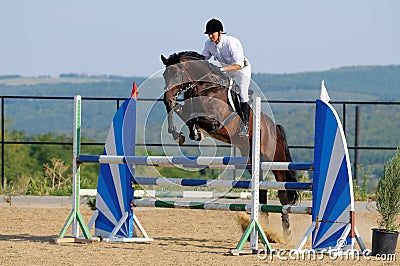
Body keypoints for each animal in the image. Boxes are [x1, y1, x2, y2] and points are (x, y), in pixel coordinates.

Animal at [161, 50, 298, 239]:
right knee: (262, 190)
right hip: (252, 160)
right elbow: (182, 111)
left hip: (274, 159)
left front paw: (192, 132)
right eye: (164, 75)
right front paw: (181, 133)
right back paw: (264, 227)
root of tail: (274, 127)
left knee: (282, 192)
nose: (167, 99)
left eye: (175, 74)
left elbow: (193, 117)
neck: (205, 87)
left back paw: (286, 231)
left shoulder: (216, 122)